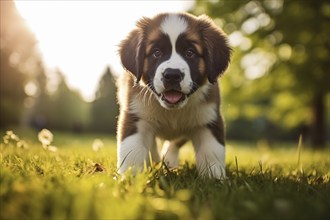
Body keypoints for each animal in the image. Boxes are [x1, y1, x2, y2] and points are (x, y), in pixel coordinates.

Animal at [117, 12, 231, 179]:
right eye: (156, 52)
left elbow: (212, 151)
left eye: (190, 52)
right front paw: (130, 177)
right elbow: (132, 149)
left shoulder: (209, 119)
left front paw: (215, 178)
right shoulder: (136, 114)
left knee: (174, 143)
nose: (172, 75)